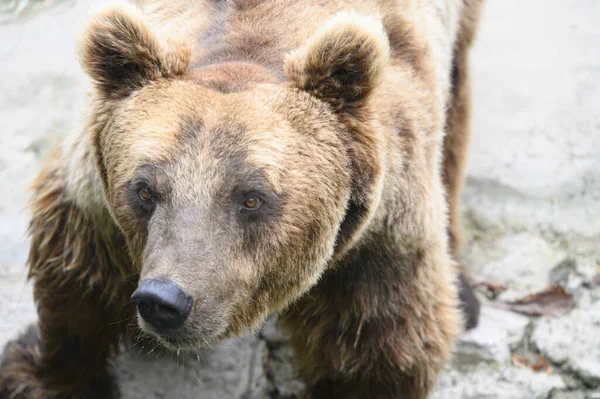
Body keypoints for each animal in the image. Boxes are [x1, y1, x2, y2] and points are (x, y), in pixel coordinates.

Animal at [0, 0, 482, 398]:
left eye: (251, 198)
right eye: (144, 190)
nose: (164, 300)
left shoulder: (381, 228)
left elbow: (376, 343)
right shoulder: (94, 192)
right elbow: (78, 269)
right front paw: (44, 377)